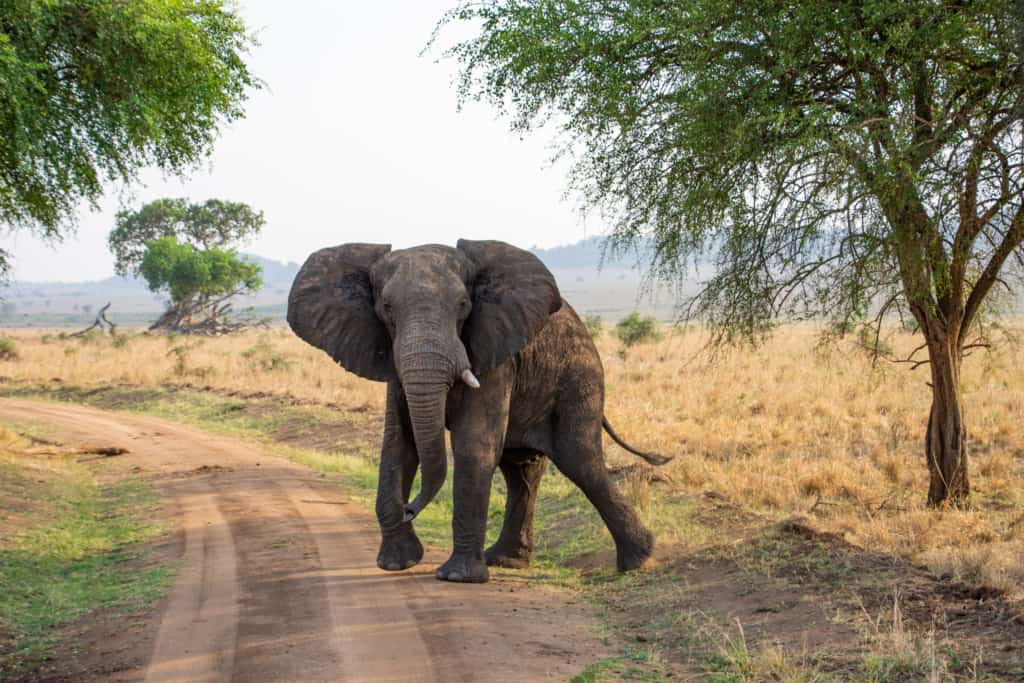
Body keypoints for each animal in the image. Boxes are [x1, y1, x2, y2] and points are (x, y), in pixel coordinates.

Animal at [288, 239, 671, 581]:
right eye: (386, 308)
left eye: (463, 305)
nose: (409, 509)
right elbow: (399, 444)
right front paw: (397, 564)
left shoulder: (495, 354)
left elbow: (473, 444)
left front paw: (457, 577)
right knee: (521, 471)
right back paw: (506, 561)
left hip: (578, 377)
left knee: (581, 460)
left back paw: (640, 561)